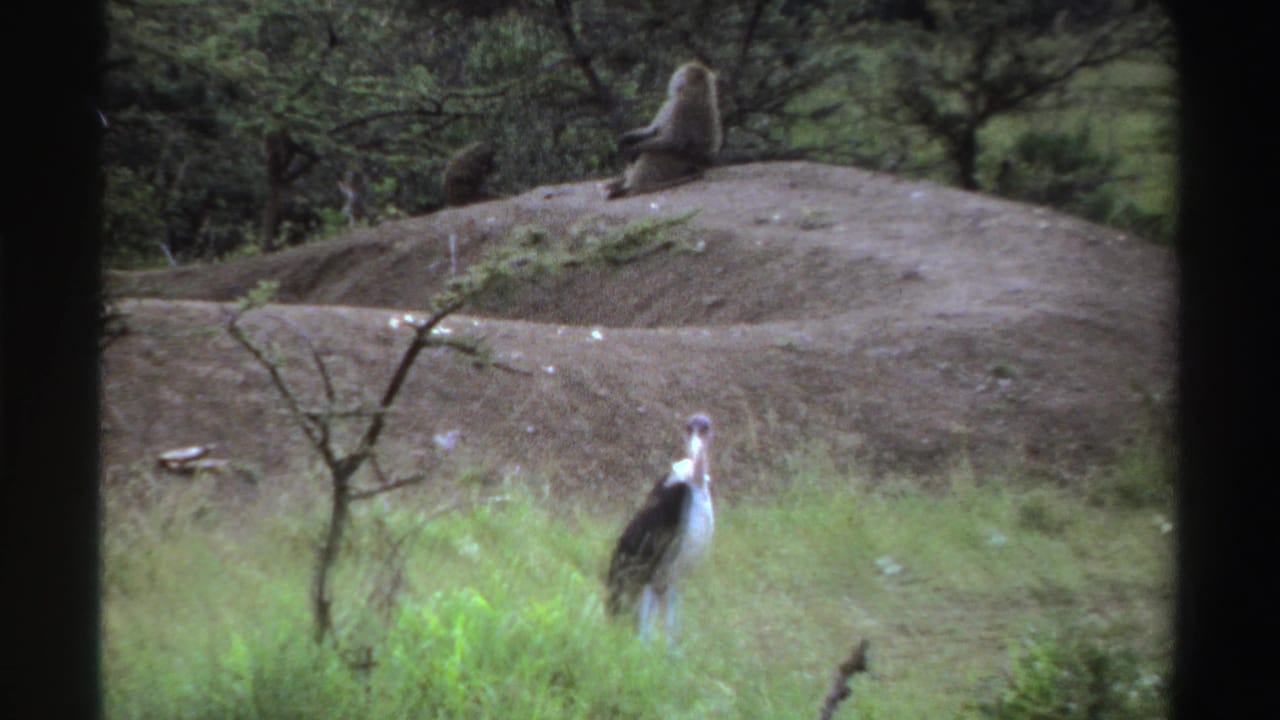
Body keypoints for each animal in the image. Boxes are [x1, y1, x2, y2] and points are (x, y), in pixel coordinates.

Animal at [603, 61, 722, 200]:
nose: (677, 77)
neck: (696, 93)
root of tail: (702, 167)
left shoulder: (679, 108)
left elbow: (672, 142)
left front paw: (633, 149)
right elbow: (653, 131)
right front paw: (626, 139)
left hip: (679, 165)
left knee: (654, 153)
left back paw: (634, 187)